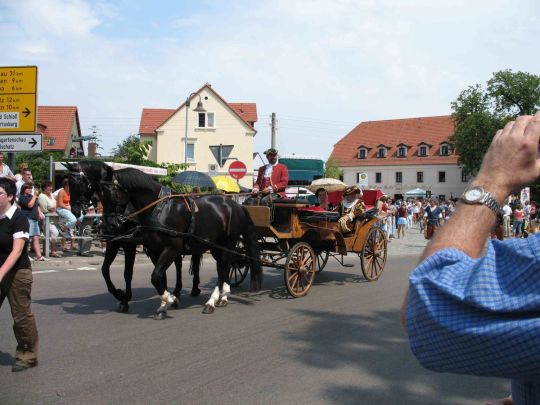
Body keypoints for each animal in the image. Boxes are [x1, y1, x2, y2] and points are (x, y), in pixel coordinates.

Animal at [65, 161, 196, 312]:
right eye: (69, 183)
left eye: (78, 183)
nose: (75, 210)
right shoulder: (114, 242)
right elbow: (104, 269)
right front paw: (119, 294)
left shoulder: (129, 244)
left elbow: (127, 273)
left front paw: (125, 298)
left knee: (178, 264)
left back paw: (179, 291)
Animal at [109, 166, 262, 316]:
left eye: (111, 192)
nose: (111, 224)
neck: (159, 209)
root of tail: (237, 205)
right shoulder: (154, 251)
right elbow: (160, 277)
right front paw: (164, 305)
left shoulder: (171, 249)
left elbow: (156, 276)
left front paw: (170, 299)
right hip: (216, 246)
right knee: (225, 268)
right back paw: (223, 297)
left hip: (227, 243)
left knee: (223, 268)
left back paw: (211, 302)